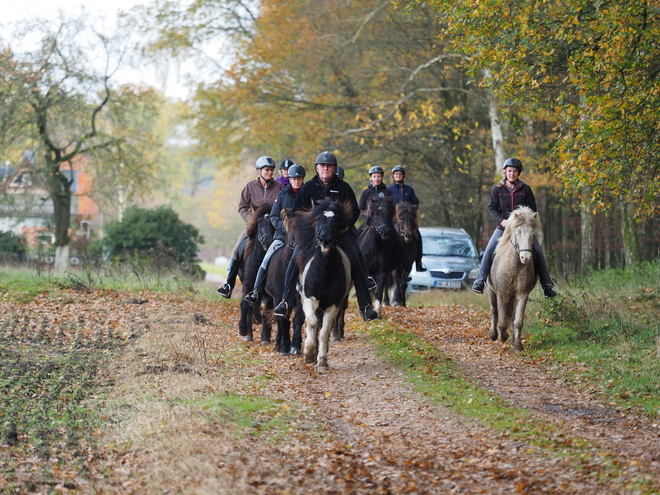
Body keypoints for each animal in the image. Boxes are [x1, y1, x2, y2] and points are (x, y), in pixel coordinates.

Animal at [238, 203, 274, 342]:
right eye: (258, 222)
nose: (268, 242)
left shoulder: (268, 291)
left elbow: (267, 310)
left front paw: (265, 337)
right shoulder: (247, 284)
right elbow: (245, 305)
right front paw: (243, 330)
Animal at [294, 200, 356, 370]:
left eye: (337, 220)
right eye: (317, 218)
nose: (325, 240)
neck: (324, 271)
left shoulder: (332, 304)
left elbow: (324, 332)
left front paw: (322, 362)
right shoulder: (309, 299)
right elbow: (312, 322)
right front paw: (309, 354)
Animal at [488, 205, 540, 352]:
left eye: (532, 234)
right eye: (518, 233)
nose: (526, 258)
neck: (515, 267)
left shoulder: (522, 294)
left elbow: (517, 321)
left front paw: (517, 345)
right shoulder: (501, 293)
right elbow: (501, 320)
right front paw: (502, 336)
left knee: (511, 317)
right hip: (491, 291)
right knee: (494, 311)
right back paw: (493, 335)